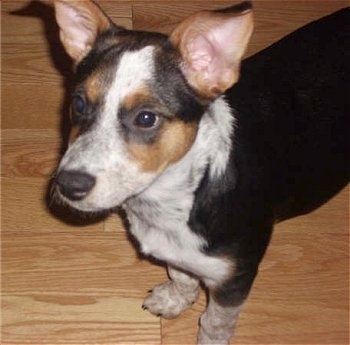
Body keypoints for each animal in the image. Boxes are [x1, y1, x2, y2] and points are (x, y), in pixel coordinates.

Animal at [52, 0, 350, 342]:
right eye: (78, 103)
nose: (68, 184)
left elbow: (214, 324)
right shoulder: (178, 252)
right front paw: (174, 300)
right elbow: (181, 273)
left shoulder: (235, 277)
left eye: (146, 118)